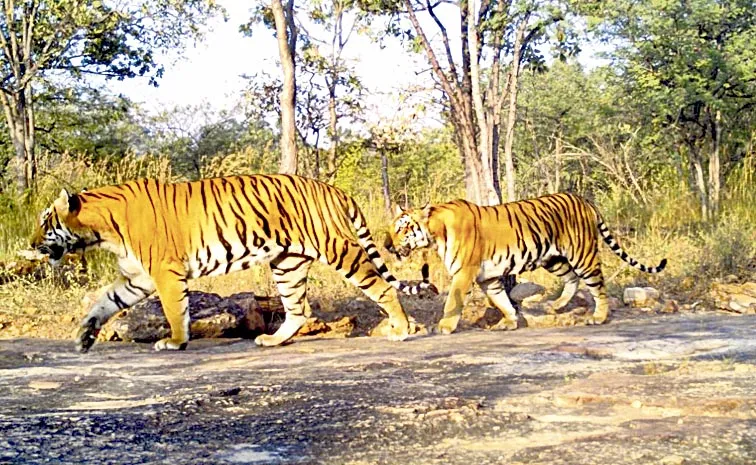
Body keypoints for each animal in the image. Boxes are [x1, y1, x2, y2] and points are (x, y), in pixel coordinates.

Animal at [29, 174, 434, 352]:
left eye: (46, 222)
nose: (30, 244)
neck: (101, 230)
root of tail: (333, 189)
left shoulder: (164, 272)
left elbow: (175, 310)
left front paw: (175, 342)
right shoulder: (138, 277)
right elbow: (104, 302)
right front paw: (84, 336)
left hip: (338, 250)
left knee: (381, 288)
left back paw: (400, 328)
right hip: (288, 263)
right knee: (298, 310)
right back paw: (272, 340)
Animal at [390, 192, 668, 334]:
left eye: (403, 229)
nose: (388, 246)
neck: (435, 234)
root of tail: (584, 200)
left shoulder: (464, 272)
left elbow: (453, 301)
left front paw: (444, 327)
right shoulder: (488, 277)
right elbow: (500, 300)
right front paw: (510, 322)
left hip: (582, 254)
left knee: (598, 286)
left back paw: (598, 317)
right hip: (553, 258)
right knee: (572, 279)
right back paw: (556, 306)